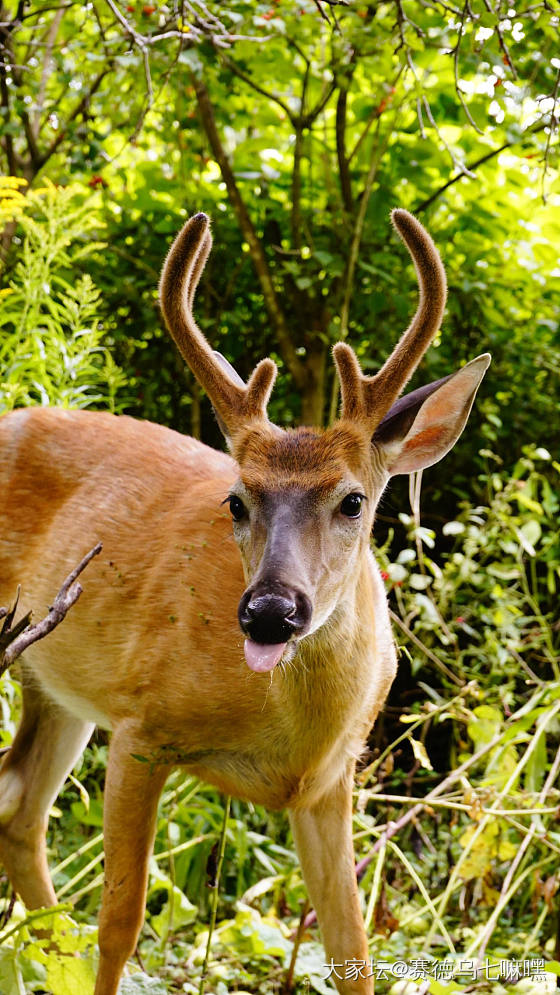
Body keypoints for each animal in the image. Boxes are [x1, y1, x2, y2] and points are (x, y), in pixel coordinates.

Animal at [0, 206, 490, 992]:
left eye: (354, 500)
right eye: (235, 500)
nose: (269, 611)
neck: (290, 734)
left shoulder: (330, 783)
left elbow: (352, 950)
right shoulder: (141, 729)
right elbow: (119, 925)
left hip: (56, 682)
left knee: (17, 803)